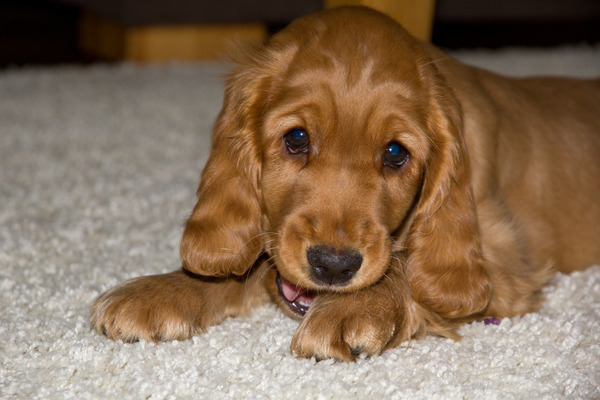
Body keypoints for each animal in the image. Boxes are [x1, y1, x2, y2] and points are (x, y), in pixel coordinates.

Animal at [90, 7, 600, 360]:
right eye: (297, 139)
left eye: (395, 153)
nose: (333, 267)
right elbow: (246, 265)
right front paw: (164, 291)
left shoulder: (508, 265)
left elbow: (408, 270)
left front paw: (355, 310)